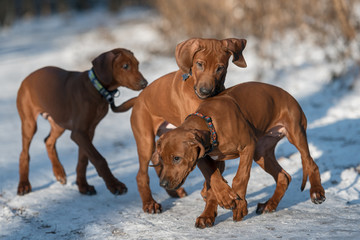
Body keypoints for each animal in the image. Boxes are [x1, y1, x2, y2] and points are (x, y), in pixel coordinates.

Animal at [16, 47, 148, 196]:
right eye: (125, 66)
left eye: (137, 64)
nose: (145, 83)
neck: (97, 89)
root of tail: (27, 78)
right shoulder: (79, 133)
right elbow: (99, 159)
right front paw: (114, 185)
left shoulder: (88, 131)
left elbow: (83, 160)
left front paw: (83, 186)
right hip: (29, 123)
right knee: (24, 153)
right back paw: (24, 185)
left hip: (59, 122)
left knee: (48, 141)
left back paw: (59, 172)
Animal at [131, 38, 248, 214]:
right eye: (199, 64)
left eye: (220, 67)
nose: (205, 91)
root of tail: (138, 99)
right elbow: (209, 168)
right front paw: (222, 194)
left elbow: (217, 166)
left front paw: (209, 190)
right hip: (145, 139)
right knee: (141, 174)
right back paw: (150, 203)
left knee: (157, 159)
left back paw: (173, 191)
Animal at [152, 82, 326, 227]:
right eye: (162, 160)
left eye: (177, 158)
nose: (163, 184)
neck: (211, 123)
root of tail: (288, 95)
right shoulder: (203, 156)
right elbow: (213, 182)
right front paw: (211, 211)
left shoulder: (247, 146)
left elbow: (240, 177)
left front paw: (240, 206)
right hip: (261, 152)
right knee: (284, 176)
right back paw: (269, 205)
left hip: (295, 132)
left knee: (309, 161)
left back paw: (316, 192)